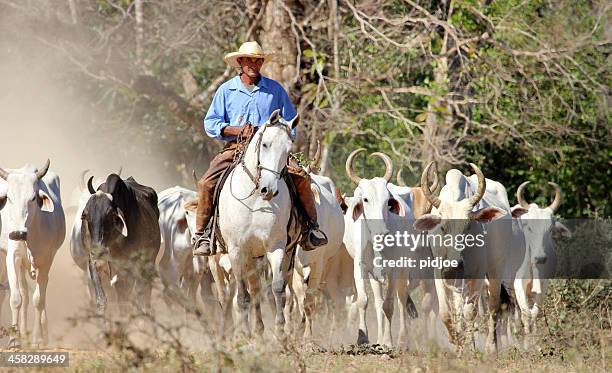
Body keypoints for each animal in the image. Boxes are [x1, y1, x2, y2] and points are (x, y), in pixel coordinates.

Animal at [0, 161, 65, 348]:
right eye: (9, 198)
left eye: (33, 198)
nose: (17, 234)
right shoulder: (12, 258)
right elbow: (16, 298)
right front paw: (14, 339)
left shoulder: (46, 261)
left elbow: (39, 300)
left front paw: (37, 339)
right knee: (24, 294)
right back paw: (22, 333)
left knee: (40, 295)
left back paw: (43, 333)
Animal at [218, 109, 302, 336]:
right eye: (265, 144)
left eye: (288, 149)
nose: (269, 189)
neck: (255, 199)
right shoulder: (236, 250)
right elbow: (242, 296)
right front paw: (243, 335)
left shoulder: (276, 246)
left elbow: (278, 289)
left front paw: (281, 333)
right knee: (251, 290)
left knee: (260, 289)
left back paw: (260, 330)